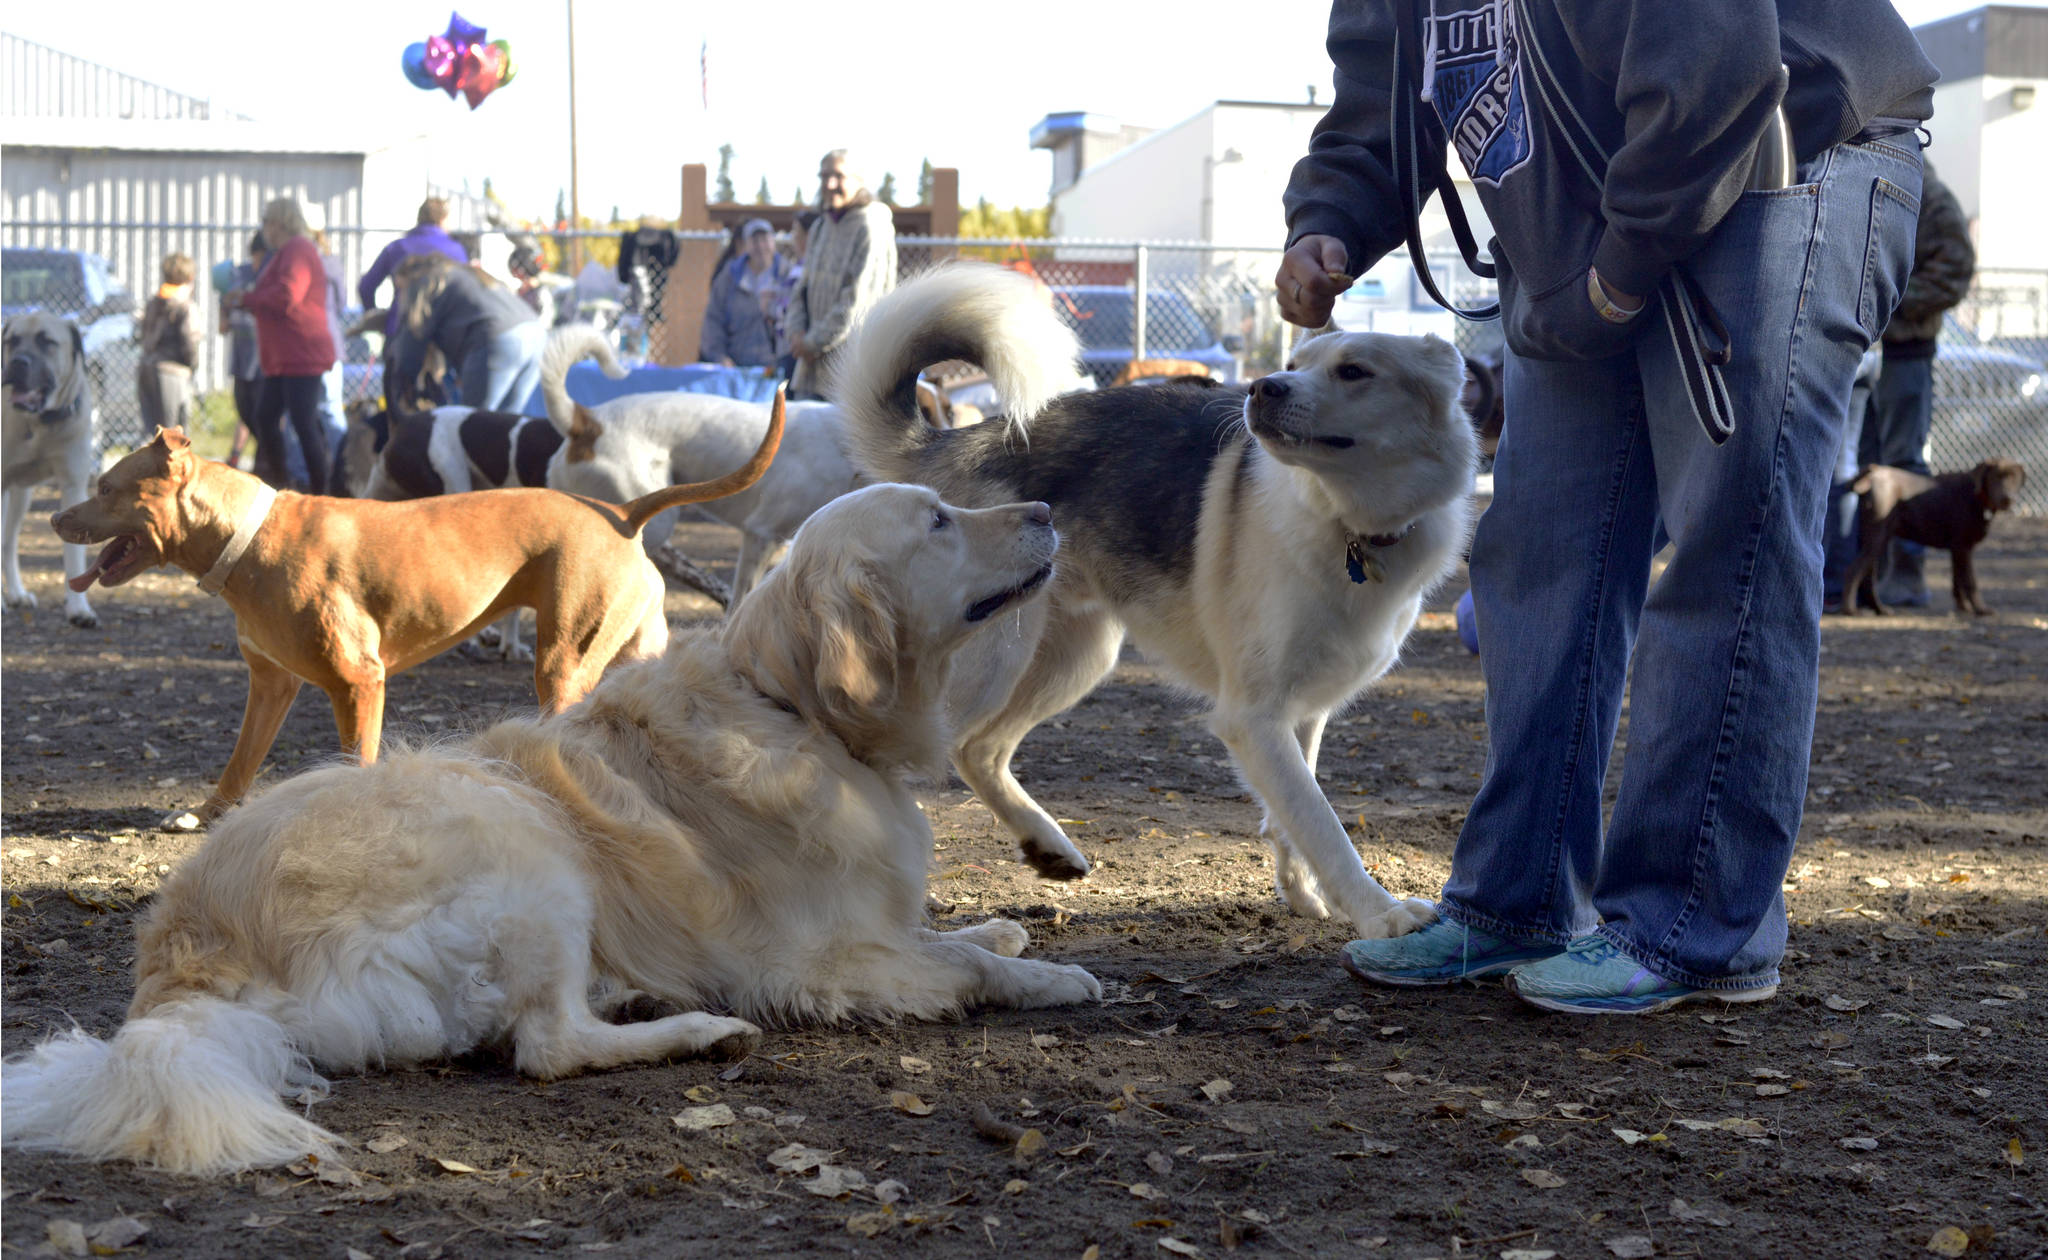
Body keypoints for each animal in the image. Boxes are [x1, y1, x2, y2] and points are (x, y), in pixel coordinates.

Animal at [49, 397, 782, 827]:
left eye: (107, 487)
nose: (56, 518)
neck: (247, 538)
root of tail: (621, 512)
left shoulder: (358, 684)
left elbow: (357, 760)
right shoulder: (271, 684)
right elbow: (239, 761)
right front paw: (207, 816)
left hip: (563, 663)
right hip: (627, 652)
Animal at [839, 266, 1482, 942]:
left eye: (1354, 370)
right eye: (1293, 364)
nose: (1263, 386)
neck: (1346, 526)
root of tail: (963, 438)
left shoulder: (1300, 714)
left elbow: (1293, 814)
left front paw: (1304, 893)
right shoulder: (1252, 718)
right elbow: (1322, 824)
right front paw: (1380, 913)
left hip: (1075, 659)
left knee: (978, 751)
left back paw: (1047, 846)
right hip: (990, 664)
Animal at [1851, 463, 2023, 622]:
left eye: (2014, 479)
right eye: (1995, 478)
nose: (2008, 498)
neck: (1976, 497)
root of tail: (1874, 473)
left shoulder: (1958, 549)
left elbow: (1957, 581)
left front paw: (1963, 607)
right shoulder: (1963, 548)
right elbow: (1970, 581)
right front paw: (1980, 609)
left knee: (1867, 577)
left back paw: (1878, 608)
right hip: (1877, 538)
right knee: (1853, 571)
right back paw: (1851, 609)